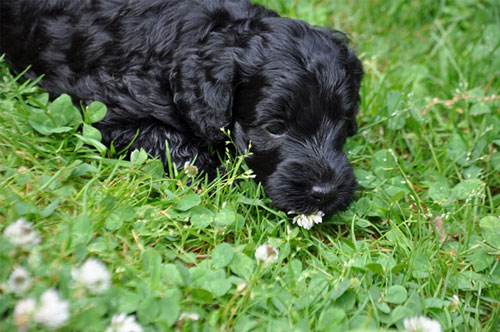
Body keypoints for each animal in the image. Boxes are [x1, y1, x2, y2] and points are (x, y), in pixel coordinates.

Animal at [1, 0, 366, 217]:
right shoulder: (102, 102)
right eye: (275, 127)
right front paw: (216, 175)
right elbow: (168, 139)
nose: (325, 193)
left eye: (342, 121)